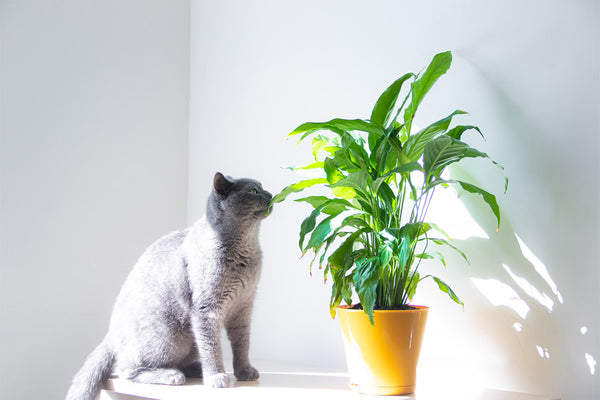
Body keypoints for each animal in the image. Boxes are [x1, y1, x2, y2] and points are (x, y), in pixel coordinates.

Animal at [65, 173, 272, 400]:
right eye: (253, 191)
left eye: (261, 187)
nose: (271, 194)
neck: (246, 249)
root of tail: (111, 335)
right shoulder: (206, 311)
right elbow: (212, 347)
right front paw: (216, 376)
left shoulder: (243, 308)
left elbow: (242, 345)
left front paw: (244, 372)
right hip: (168, 337)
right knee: (125, 369)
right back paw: (173, 375)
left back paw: (193, 368)